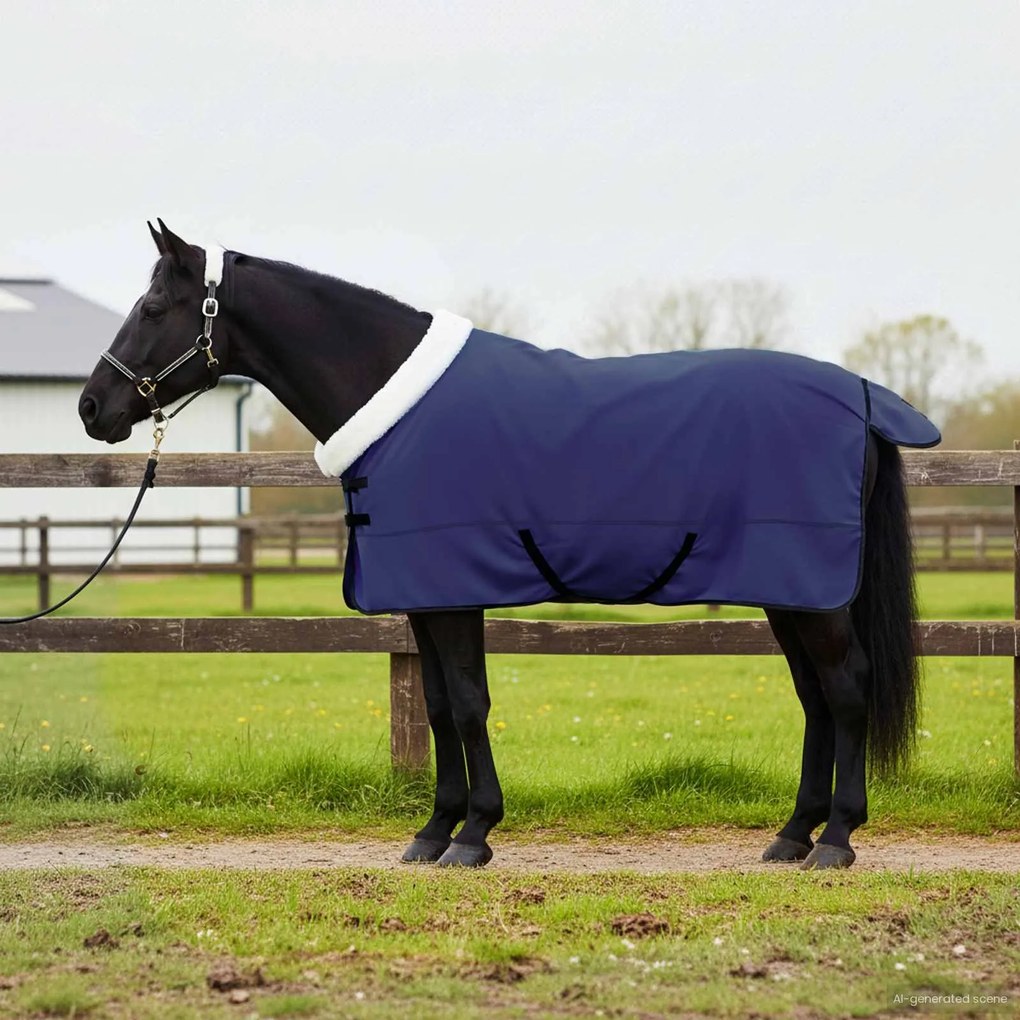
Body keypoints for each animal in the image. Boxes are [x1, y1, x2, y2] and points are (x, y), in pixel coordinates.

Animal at [79, 220, 938, 870]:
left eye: (154, 305)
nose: (92, 406)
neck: (395, 402)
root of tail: (862, 399)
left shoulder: (453, 593)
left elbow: (466, 704)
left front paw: (475, 834)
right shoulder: (424, 599)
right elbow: (434, 706)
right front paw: (434, 832)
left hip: (813, 593)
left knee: (847, 689)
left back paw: (836, 839)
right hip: (791, 590)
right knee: (816, 697)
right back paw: (792, 835)